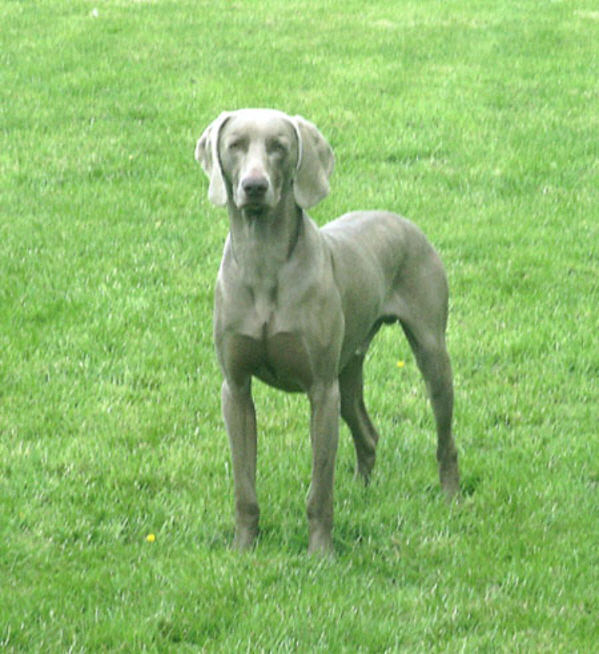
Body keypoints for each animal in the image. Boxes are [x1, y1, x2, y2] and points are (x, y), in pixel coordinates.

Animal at [196, 107, 460, 552]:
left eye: (279, 146)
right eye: (234, 145)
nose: (254, 186)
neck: (264, 263)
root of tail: (402, 220)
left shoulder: (321, 390)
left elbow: (319, 488)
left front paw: (321, 553)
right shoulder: (235, 388)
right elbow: (244, 484)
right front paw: (244, 548)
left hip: (429, 352)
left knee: (445, 437)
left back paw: (451, 495)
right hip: (348, 369)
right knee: (367, 433)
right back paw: (362, 492)